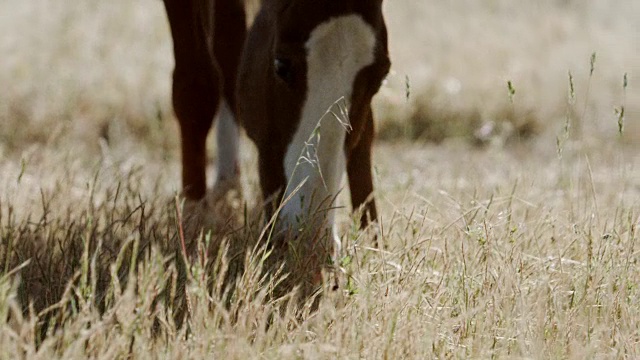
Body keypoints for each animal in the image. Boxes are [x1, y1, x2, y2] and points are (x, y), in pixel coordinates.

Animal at [160, 0, 390, 282]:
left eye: (380, 78)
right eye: (281, 66)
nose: (309, 239)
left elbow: (367, 128)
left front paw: (370, 236)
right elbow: (195, 86)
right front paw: (193, 219)